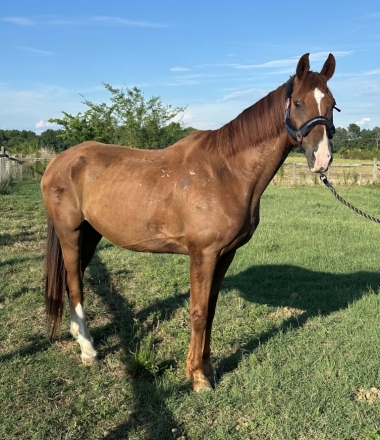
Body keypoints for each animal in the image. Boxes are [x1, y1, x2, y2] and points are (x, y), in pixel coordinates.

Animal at [41, 52, 336, 392]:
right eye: (298, 103)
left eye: (332, 104)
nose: (322, 159)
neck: (226, 171)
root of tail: (58, 162)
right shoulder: (203, 254)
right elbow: (198, 311)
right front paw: (197, 377)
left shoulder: (225, 254)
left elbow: (210, 311)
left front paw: (207, 368)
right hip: (70, 233)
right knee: (74, 284)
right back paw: (88, 350)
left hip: (90, 235)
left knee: (70, 279)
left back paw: (79, 336)